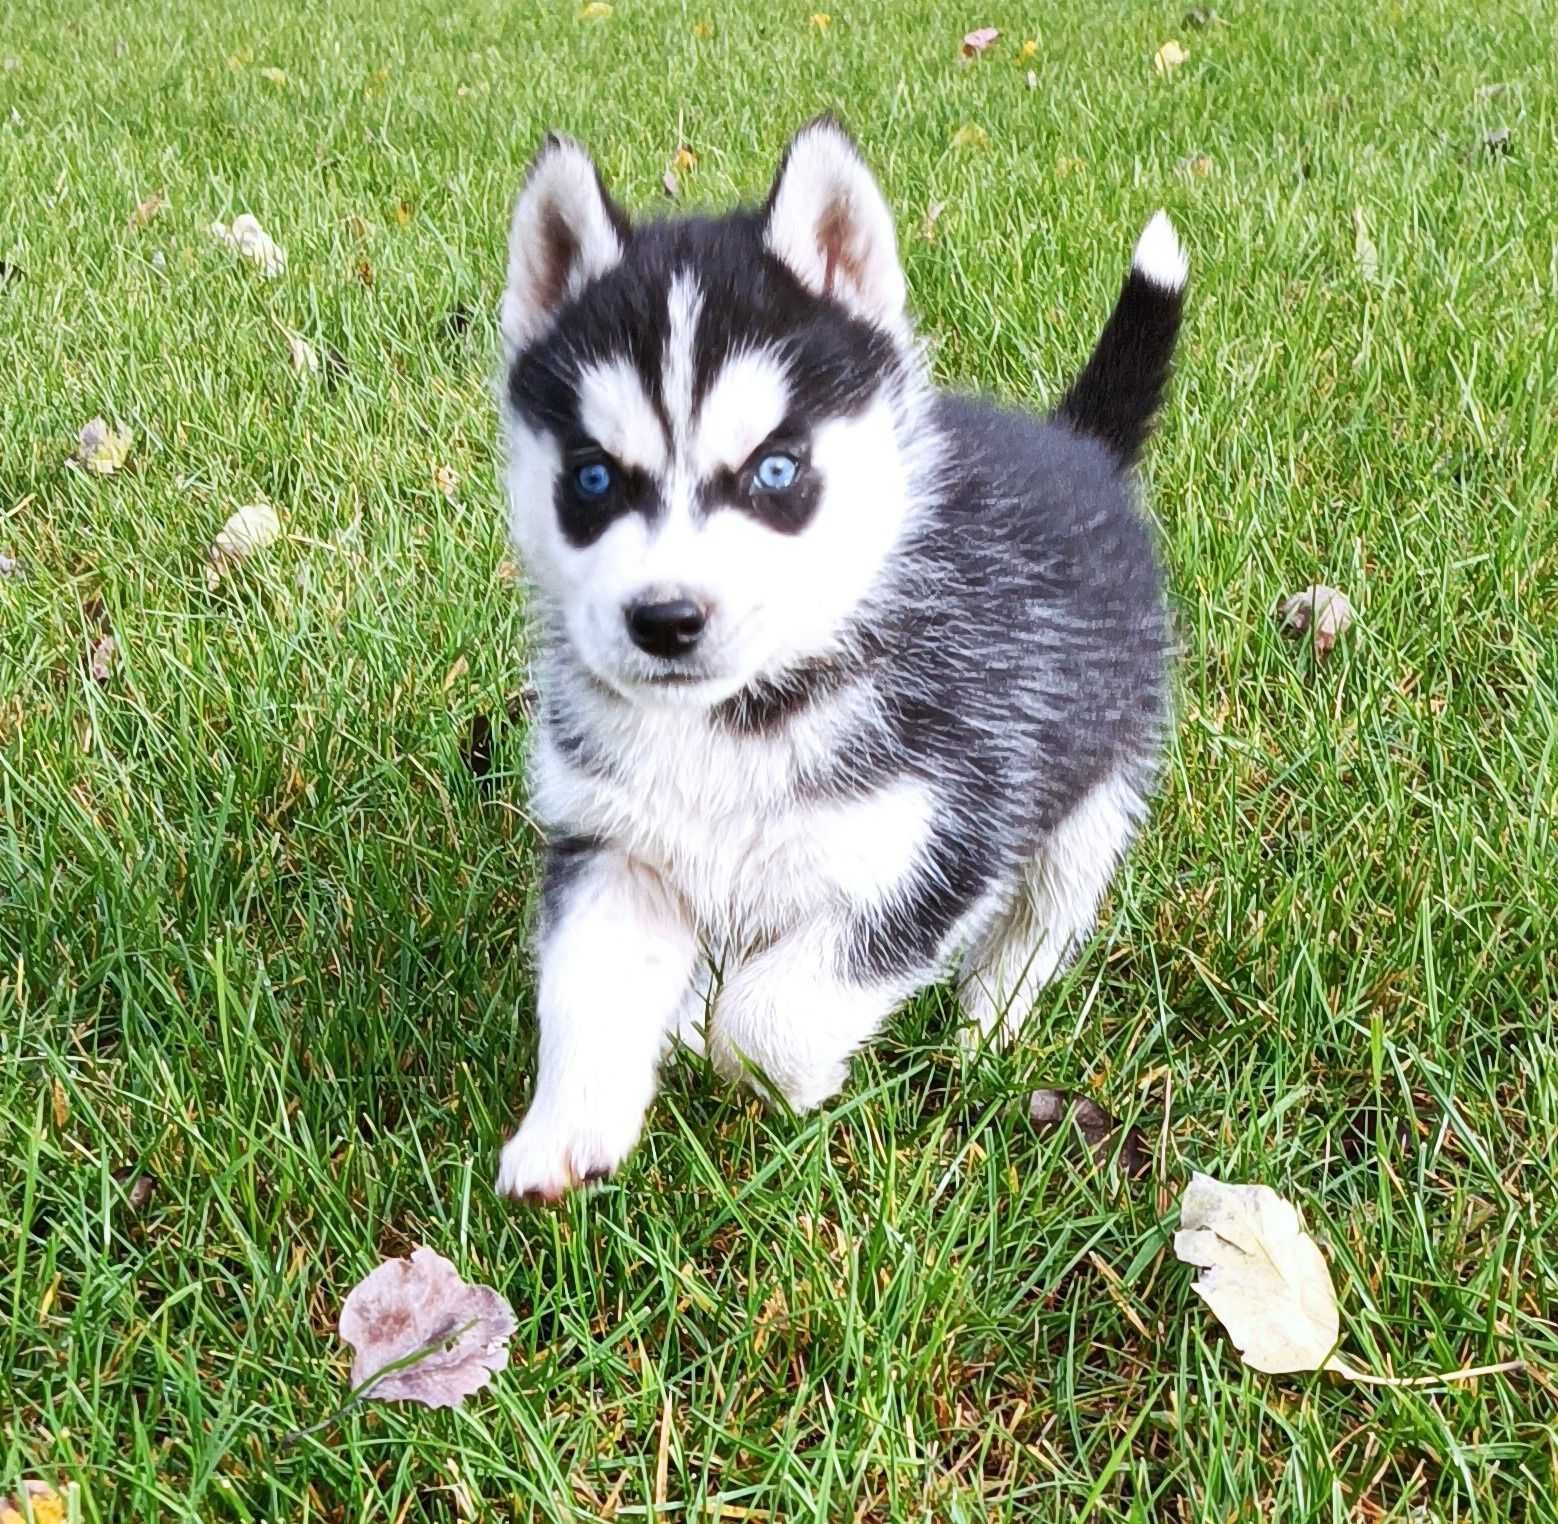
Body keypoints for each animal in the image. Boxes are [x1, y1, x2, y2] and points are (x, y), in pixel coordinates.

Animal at [492, 116, 1184, 1202]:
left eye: (775, 470)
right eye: (593, 479)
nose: (666, 619)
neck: (741, 714)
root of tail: (1078, 446)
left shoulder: (937, 843)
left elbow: (768, 1018)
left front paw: (780, 1076)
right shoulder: (615, 842)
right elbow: (591, 984)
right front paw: (570, 1125)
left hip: (1095, 788)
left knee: (1044, 916)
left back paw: (990, 1023)